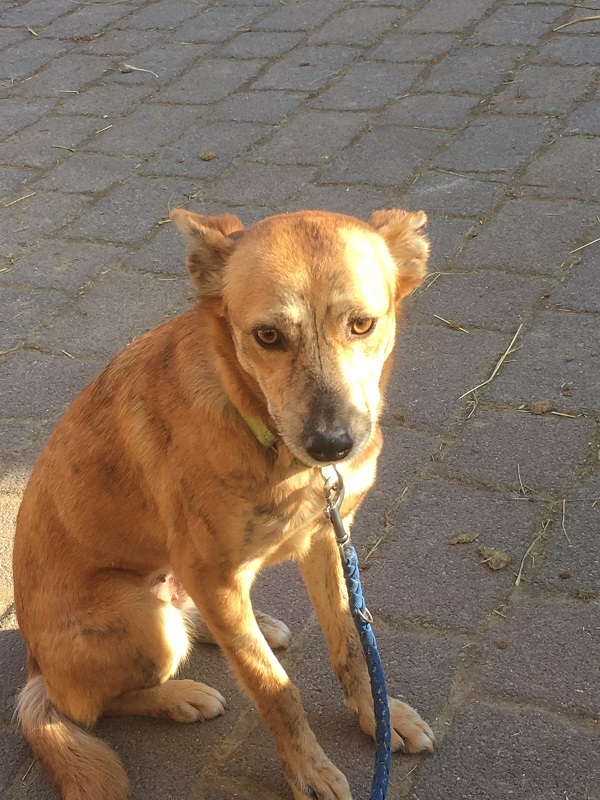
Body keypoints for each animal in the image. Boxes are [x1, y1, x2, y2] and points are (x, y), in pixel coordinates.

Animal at [13, 207, 434, 800]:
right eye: (267, 335)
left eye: (362, 324)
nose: (332, 444)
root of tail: (35, 666)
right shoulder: (212, 572)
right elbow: (273, 687)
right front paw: (307, 770)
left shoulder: (326, 539)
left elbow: (352, 643)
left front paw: (380, 716)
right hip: (145, 618)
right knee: (85, 706)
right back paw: (178, 696)